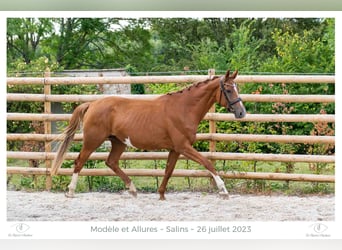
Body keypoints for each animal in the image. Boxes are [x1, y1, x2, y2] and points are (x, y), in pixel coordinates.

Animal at [50, 69, 246, 200]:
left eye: (237, 88)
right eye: (229, 90)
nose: (241, 113)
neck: (184, 109)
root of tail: (92, 104)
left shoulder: (175, 149)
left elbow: (168, 170)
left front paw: (161, 194)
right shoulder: (183, 147)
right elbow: (208, 163)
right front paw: (224, 191)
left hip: (118, 142)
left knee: (111, 162)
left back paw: (133, 189)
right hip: (93, 140)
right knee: (79, 161)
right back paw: (70, 192)